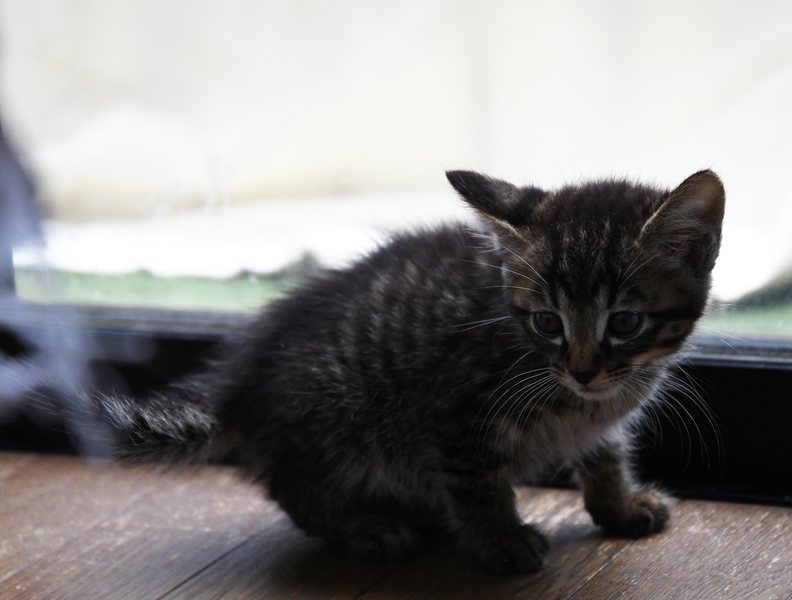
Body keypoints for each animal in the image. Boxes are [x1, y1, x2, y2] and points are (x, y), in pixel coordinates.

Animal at [96, 169, 725, 574]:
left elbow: (605, 453)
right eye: (548, 321)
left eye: (625, 322)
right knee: (296, 488)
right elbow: (477, 484)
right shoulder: (457, 413)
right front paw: (500, 541)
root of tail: (241, 387)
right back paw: (368, 528)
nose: (583, 371)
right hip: (335, 421)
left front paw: (619, 505)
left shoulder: (597, 416)